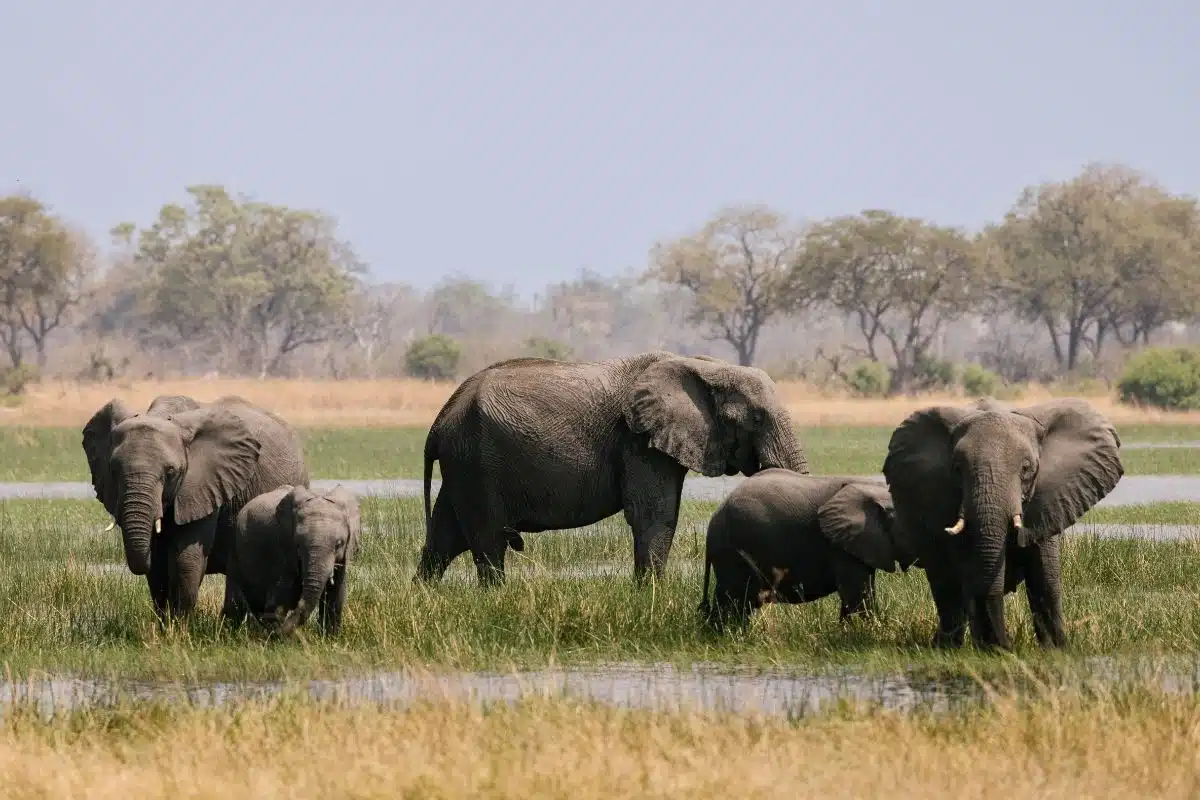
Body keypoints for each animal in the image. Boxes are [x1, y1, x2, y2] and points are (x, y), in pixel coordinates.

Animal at [81, 394, 310, 621]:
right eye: (113, 470)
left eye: (171, 472)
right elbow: (157, 563)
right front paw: (165, 624)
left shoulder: (206, 483)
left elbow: (186, 558)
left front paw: (180, 626)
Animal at [226, 484, 361, 636]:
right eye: (297, 545)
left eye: (339, 544)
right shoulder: (282, 549)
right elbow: (280, 599)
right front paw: (276, 635)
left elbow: (335, 598)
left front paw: (330, 638)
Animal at [415, 351, 810, 586]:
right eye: (756, 419)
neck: (704, 365)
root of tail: (438, 422)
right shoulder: (636, 441)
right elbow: (654, 515)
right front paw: (651, 600)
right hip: (476, 462)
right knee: (488, 543)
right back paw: (497, 598)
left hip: (464, 463)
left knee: (444, 538)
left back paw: (424, 596)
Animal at [699, 469, 915, 632]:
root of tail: (715, 518)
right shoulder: (840, 545)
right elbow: (857, 595)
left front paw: (847, 632)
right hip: (735, 550)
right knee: (735, 600)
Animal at [882, 396, 1123, 651]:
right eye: (957, 468)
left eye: (1026, 469)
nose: (1006, 645)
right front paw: (990, 648)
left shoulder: (1047, 499)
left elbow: (1044, 575)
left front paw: (1056, 650)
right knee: (945, 585)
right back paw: (946, 647)